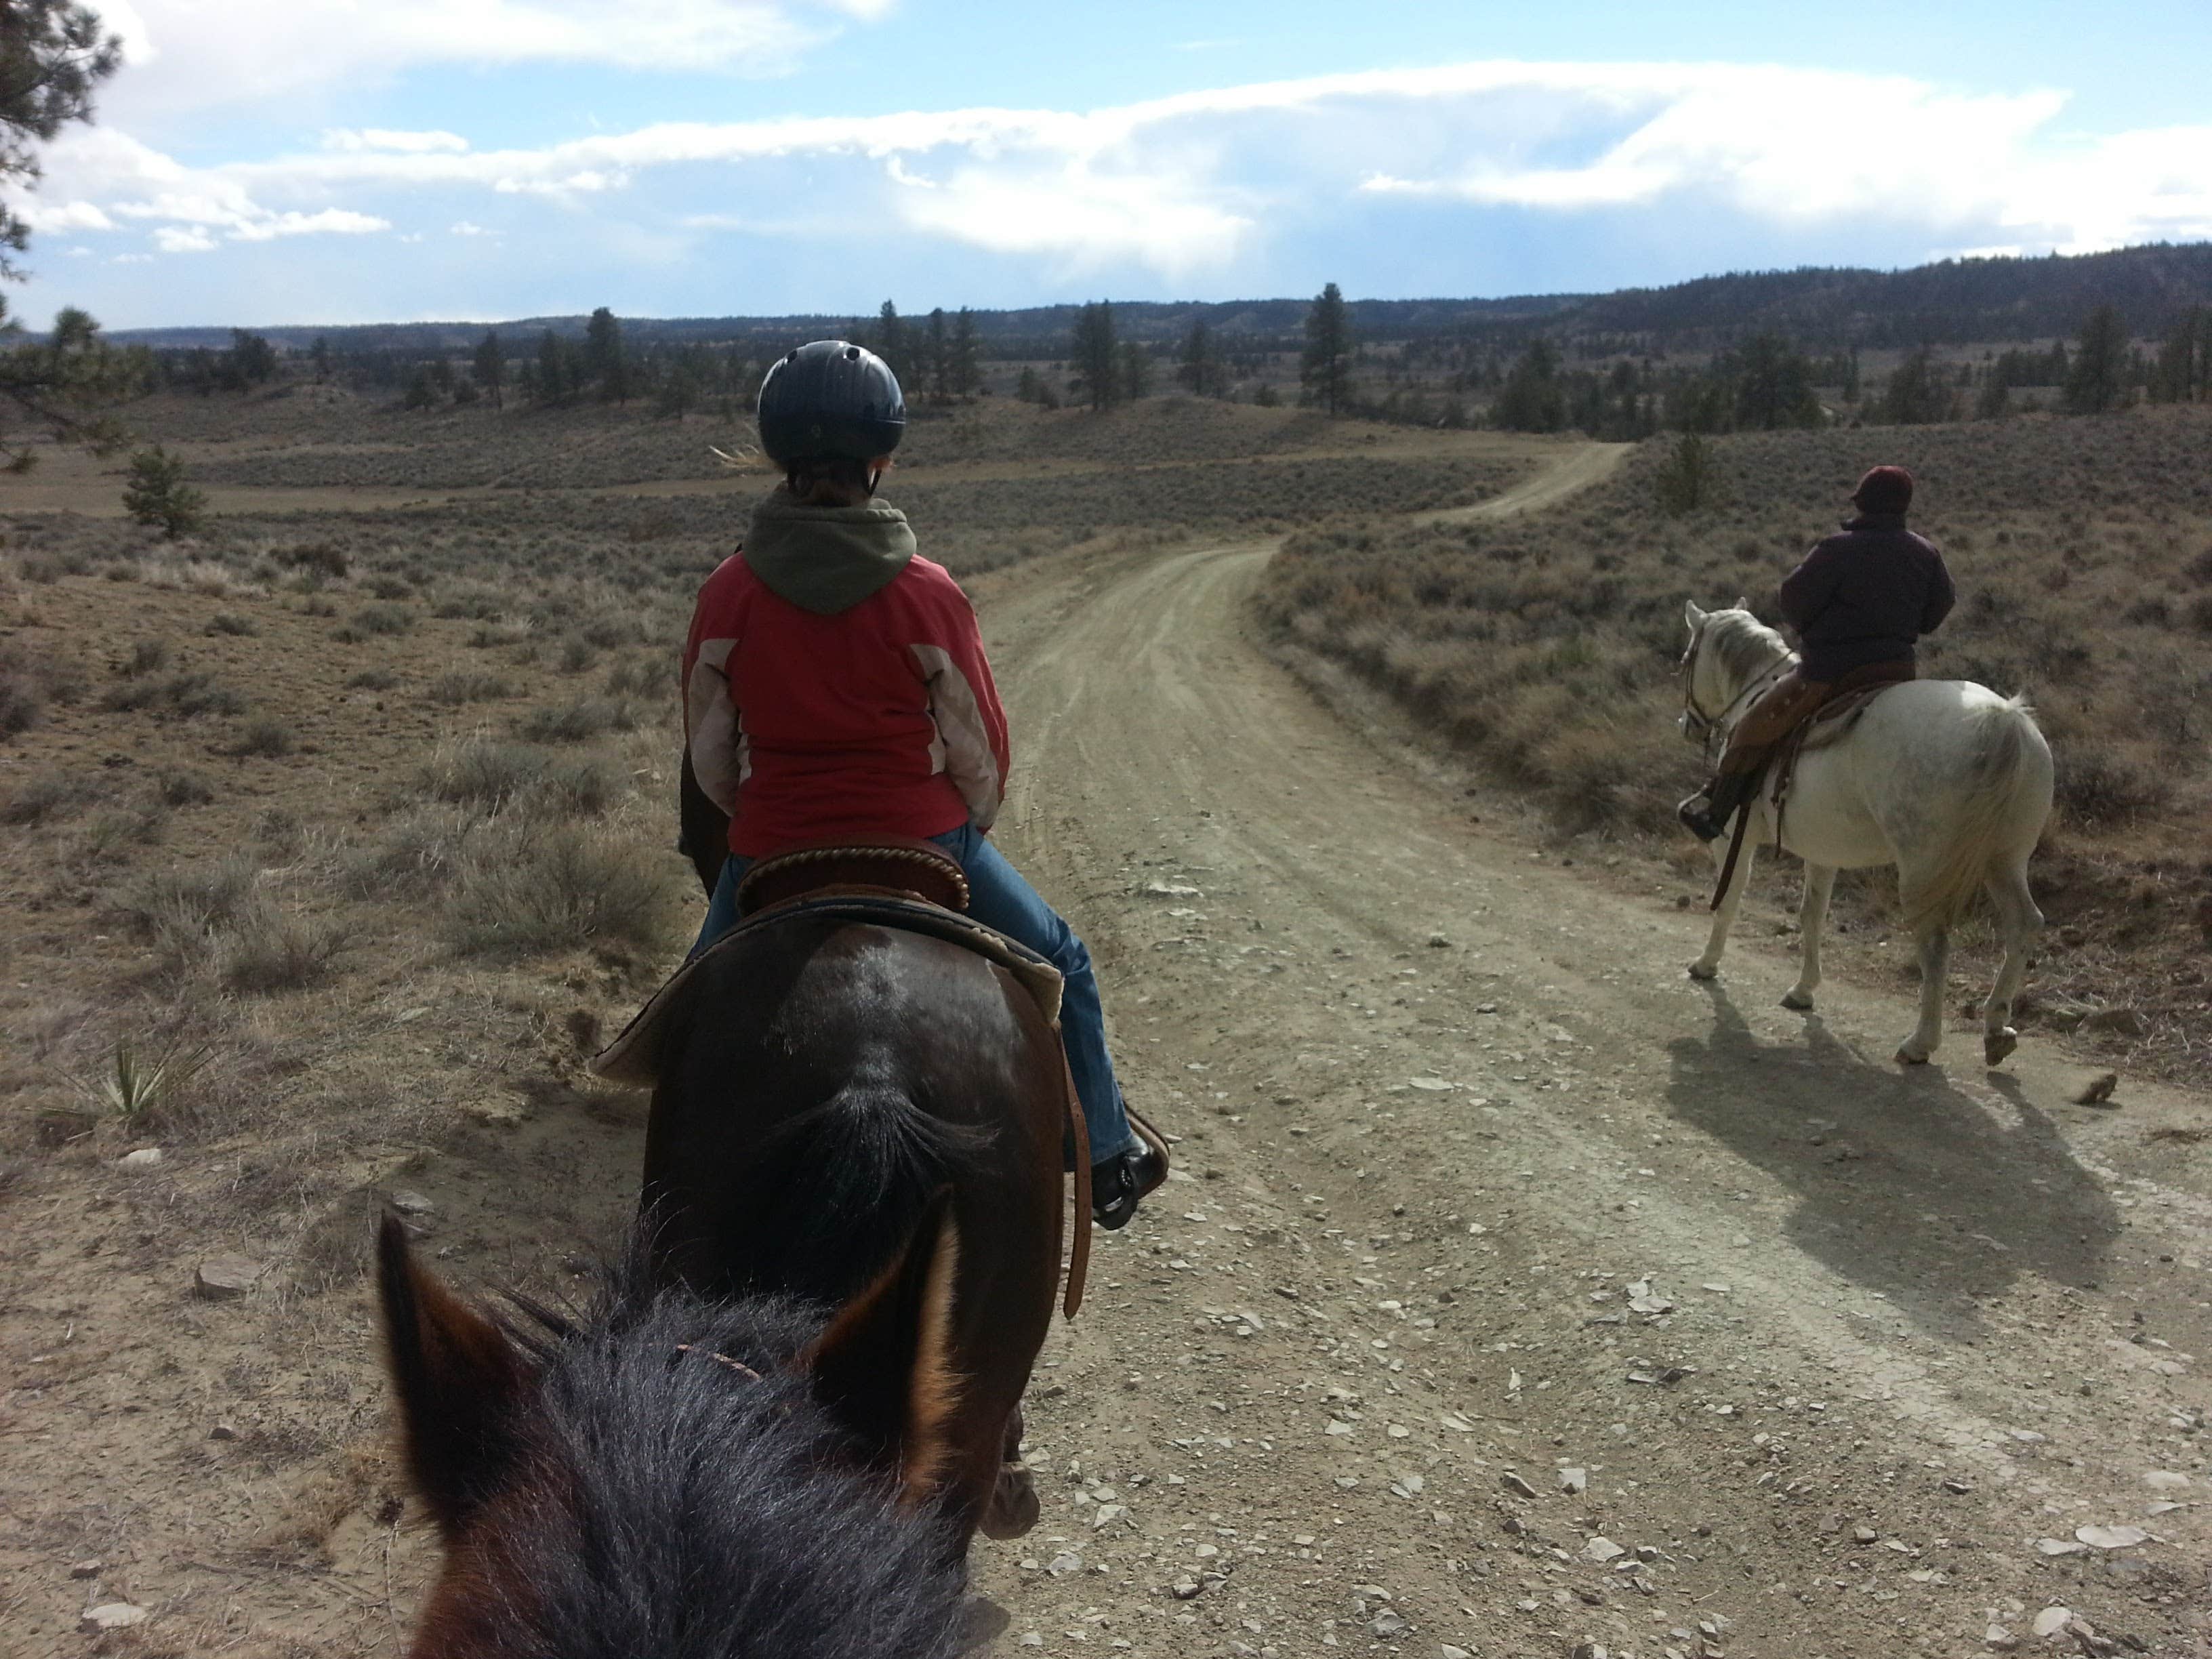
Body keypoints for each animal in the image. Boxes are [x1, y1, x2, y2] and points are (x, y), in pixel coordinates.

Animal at [1672, 606, 2052, 1070]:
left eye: (1687, 659)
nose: (1686, 724)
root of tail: (2003, 721)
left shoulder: (1734, 840)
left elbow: (1728, 899)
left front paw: (1706, 964)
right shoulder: (1822, 851)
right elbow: (1812, 916)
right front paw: (1803, 990)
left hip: (1924, 868)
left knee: (1936, 944)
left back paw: (1920, 1043)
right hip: (2006, 859)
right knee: (2023, 923)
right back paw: (1996, 1027)